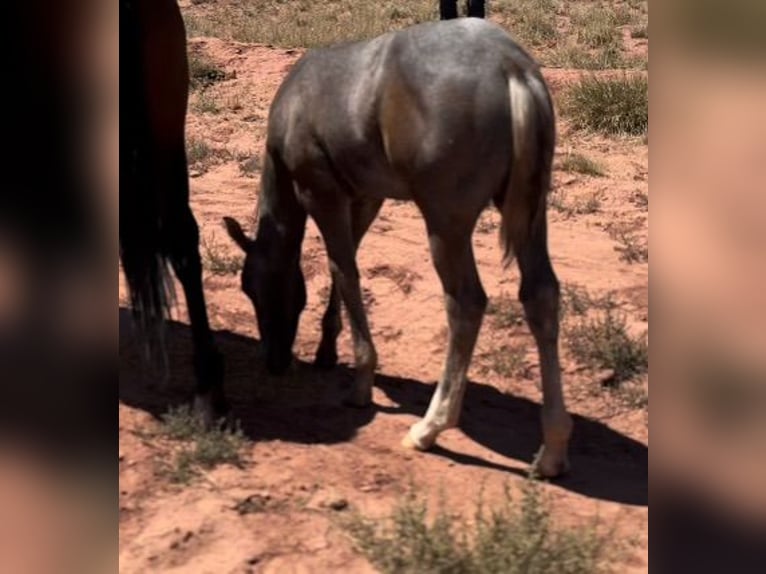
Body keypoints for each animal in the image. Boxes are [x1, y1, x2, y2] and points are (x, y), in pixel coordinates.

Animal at [225, 18, 572, 476]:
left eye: (251, 289)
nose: (276, 360)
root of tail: (510, 65)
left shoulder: (322, 195)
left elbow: (345, 271)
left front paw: (361, 381)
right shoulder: (366, 197)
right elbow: (343, 267)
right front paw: (326, 349)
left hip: (445, 224)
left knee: (466, 303)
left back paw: (430, 427)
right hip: (532, 214)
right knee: (541, 296)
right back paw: (552, 448)